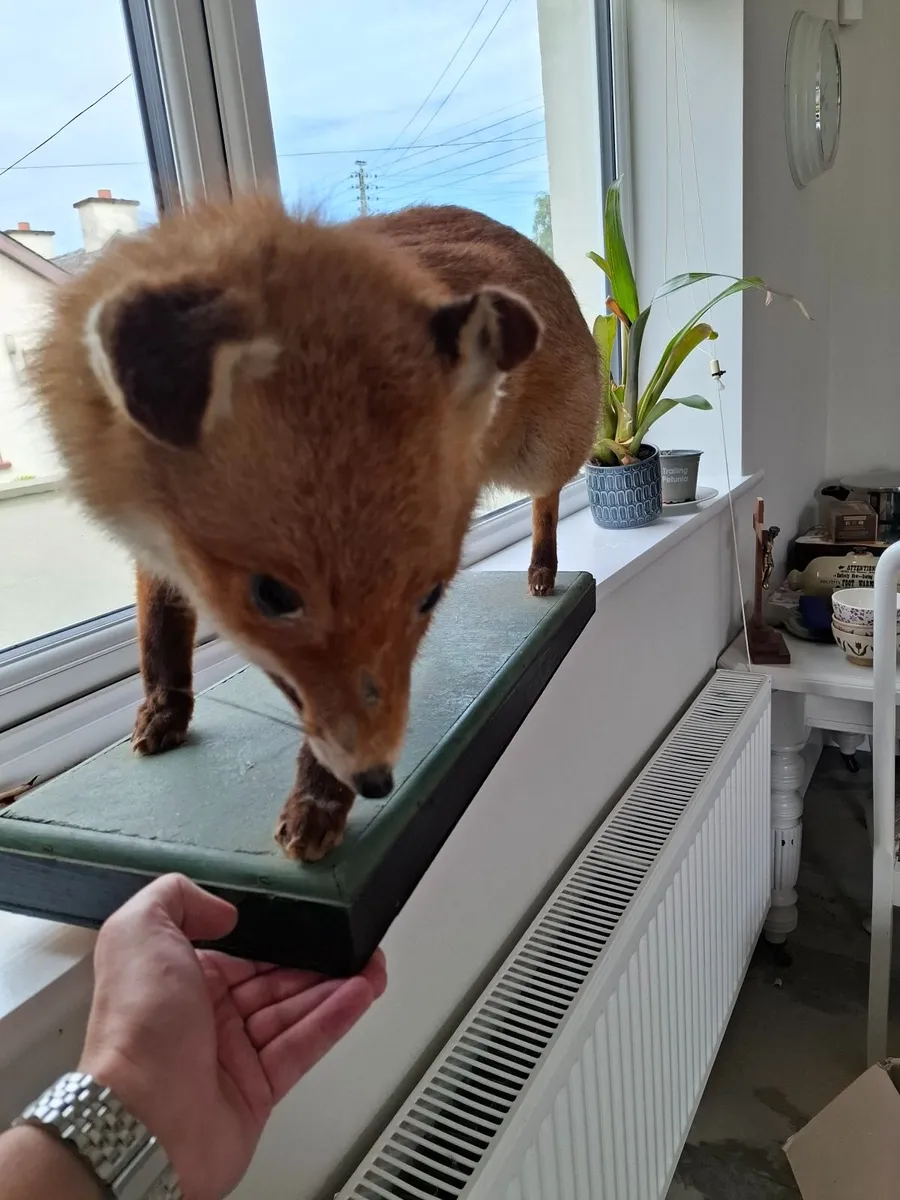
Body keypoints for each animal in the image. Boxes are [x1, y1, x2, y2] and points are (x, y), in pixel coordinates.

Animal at [31, 196, 598, 861]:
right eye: (273, 595)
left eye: (429, 595)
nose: (377, 782)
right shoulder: (157, 553)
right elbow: (159, 633)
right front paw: (165, 707)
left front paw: (318, 801)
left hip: (539, 454)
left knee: (550, 494)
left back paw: (543, 566)